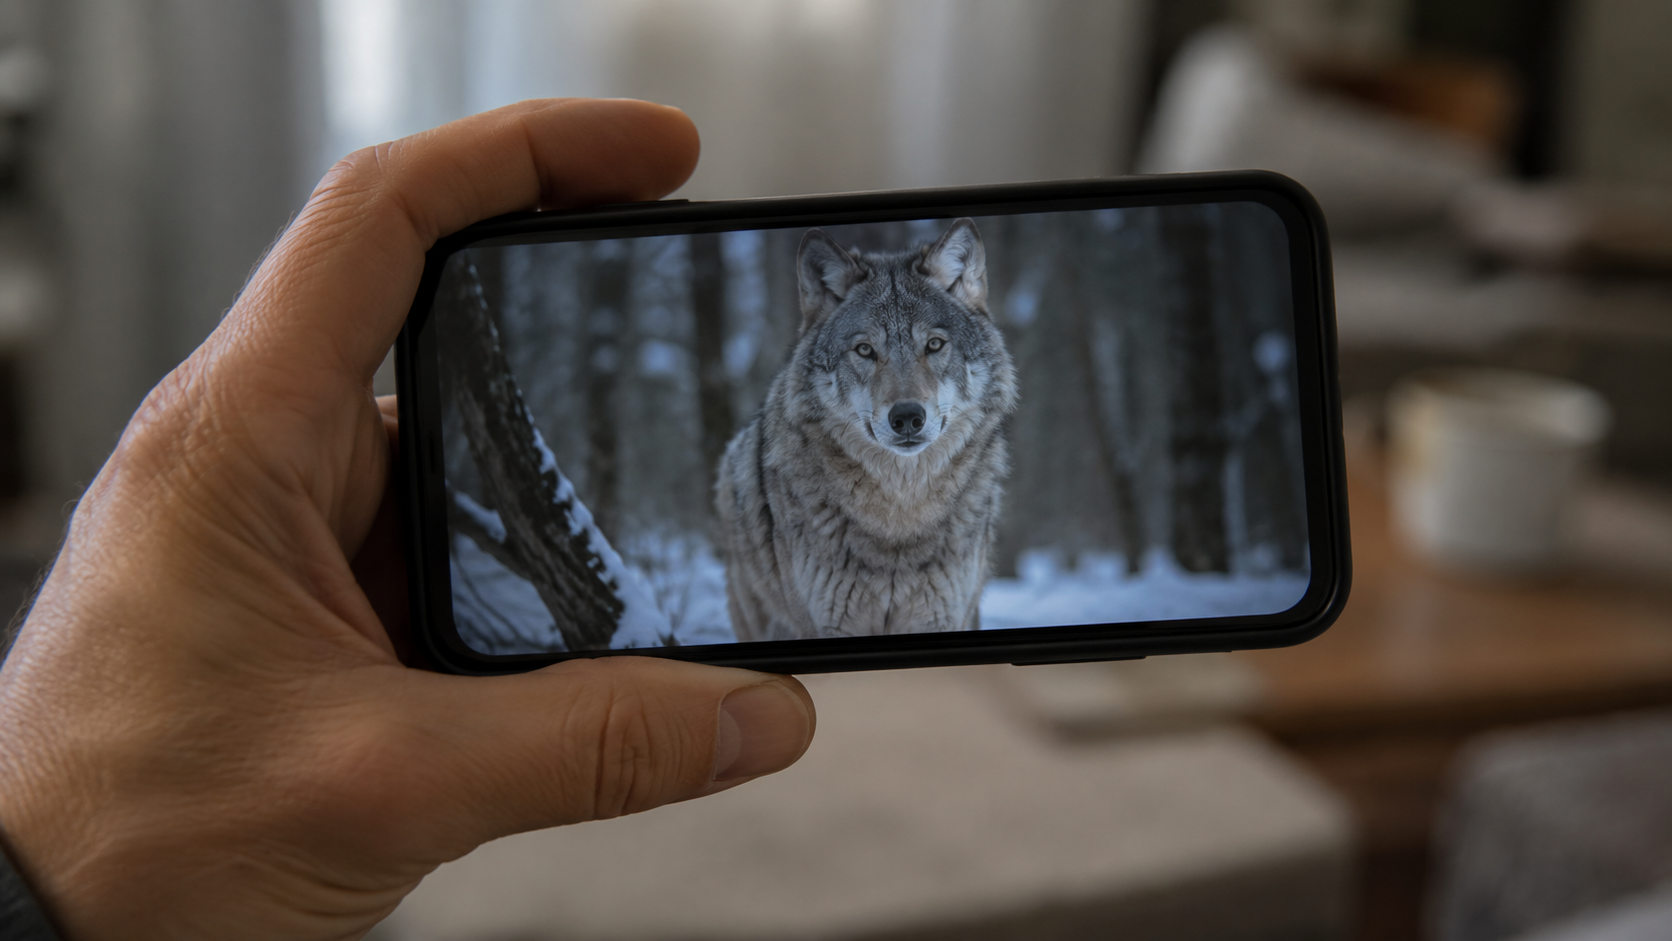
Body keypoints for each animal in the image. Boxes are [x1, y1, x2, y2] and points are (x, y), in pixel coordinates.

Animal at [715, 219, 1019, 641]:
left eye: (934, 345)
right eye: (864, 350)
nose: (907, 417)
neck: (900, 512)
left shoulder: (942, 617)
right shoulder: (826, 625)